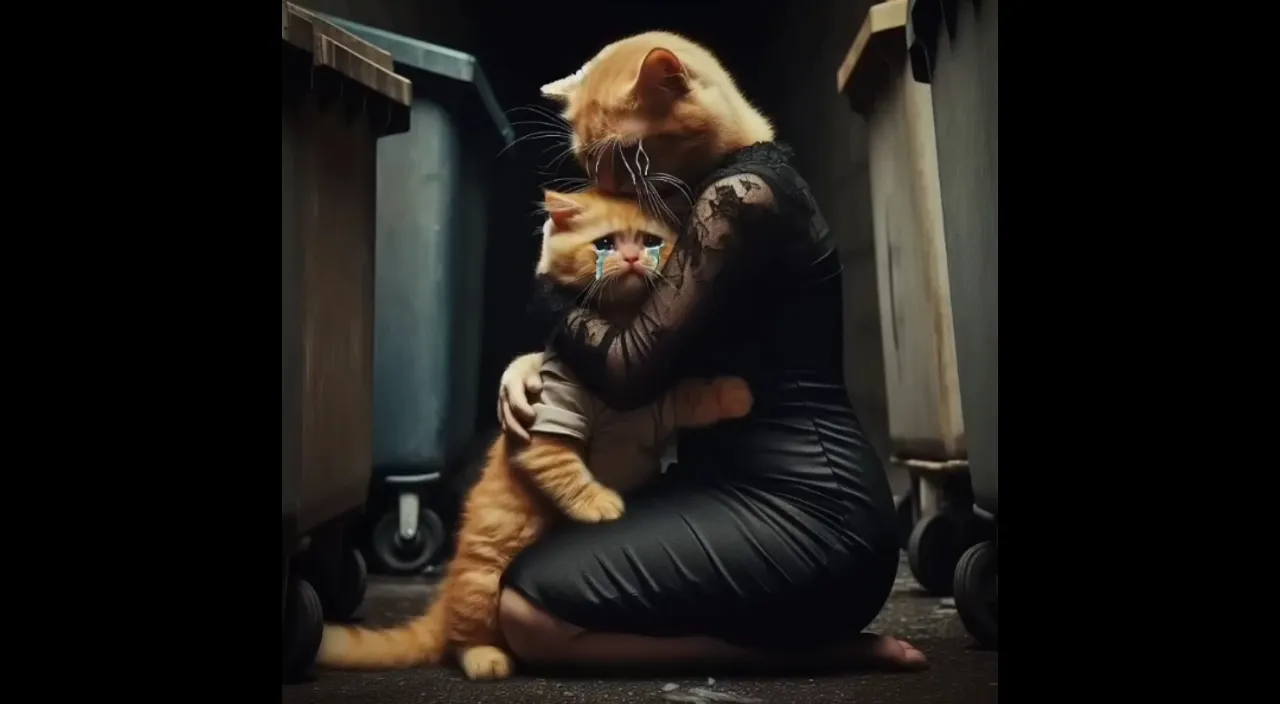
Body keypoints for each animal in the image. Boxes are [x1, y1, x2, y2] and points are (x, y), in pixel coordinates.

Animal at [316, 190, 752, 680]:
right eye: (605, 242)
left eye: (648, 240)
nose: (632, 257)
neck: (620, 326)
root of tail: (444, 600)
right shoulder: (545, 434)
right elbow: (569, 475)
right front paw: (601, 505)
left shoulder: (655, 403)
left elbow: (691, 393)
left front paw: (734, 394)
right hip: (485, 584)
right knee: (460, 640)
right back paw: (486, 658)